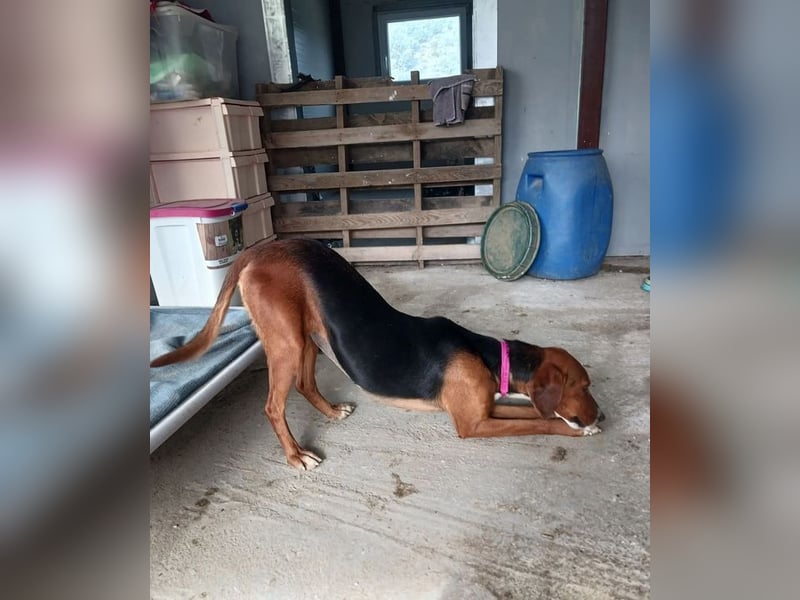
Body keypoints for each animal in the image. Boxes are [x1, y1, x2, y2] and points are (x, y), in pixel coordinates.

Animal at [151, 239, 604, 469]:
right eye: (583, 385)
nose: (601, 414)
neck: (490, 356)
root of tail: (258, 249)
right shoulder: (473, 424)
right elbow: (539, 422)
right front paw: (577, 429)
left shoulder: (488, 409)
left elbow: (530, 412)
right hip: (288, 342)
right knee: (273, 407)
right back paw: (296, 456)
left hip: (309, 336)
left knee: (305, 383)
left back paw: (332, 412)